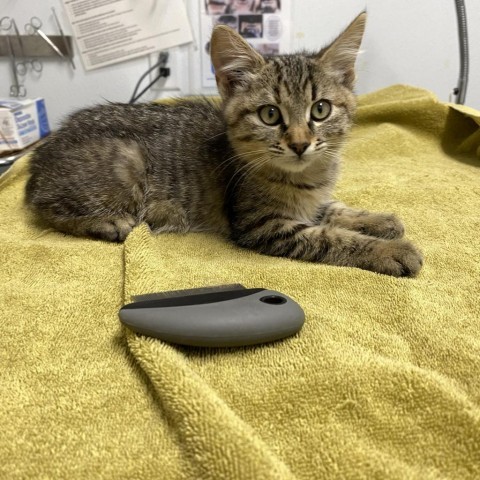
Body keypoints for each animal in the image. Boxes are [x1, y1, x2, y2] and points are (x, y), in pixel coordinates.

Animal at [26, 13, 422, 278]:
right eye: (270, 114)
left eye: (320, 109)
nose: (299, 144)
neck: (306, 176)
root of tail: (40, 155)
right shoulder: (261, 226)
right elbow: (329, 237)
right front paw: (390, 250)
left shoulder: (310, 199)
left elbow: (333, 209)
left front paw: (378, 219)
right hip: (126, 163)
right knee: (45, 209)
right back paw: (108, 223)